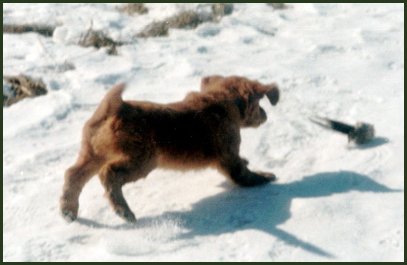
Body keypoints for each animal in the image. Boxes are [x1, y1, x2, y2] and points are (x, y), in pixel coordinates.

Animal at [59, 75, 280, 222]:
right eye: (259, 104)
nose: (265, 116)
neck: (223, 100)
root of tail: (114, 108)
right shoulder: (228, 155)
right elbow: (243, 174)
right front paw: (265, 177)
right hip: (141, 159)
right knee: (108, 174)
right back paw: (124, 212)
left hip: (92, 153)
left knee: (73, 174)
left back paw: (68, 211)